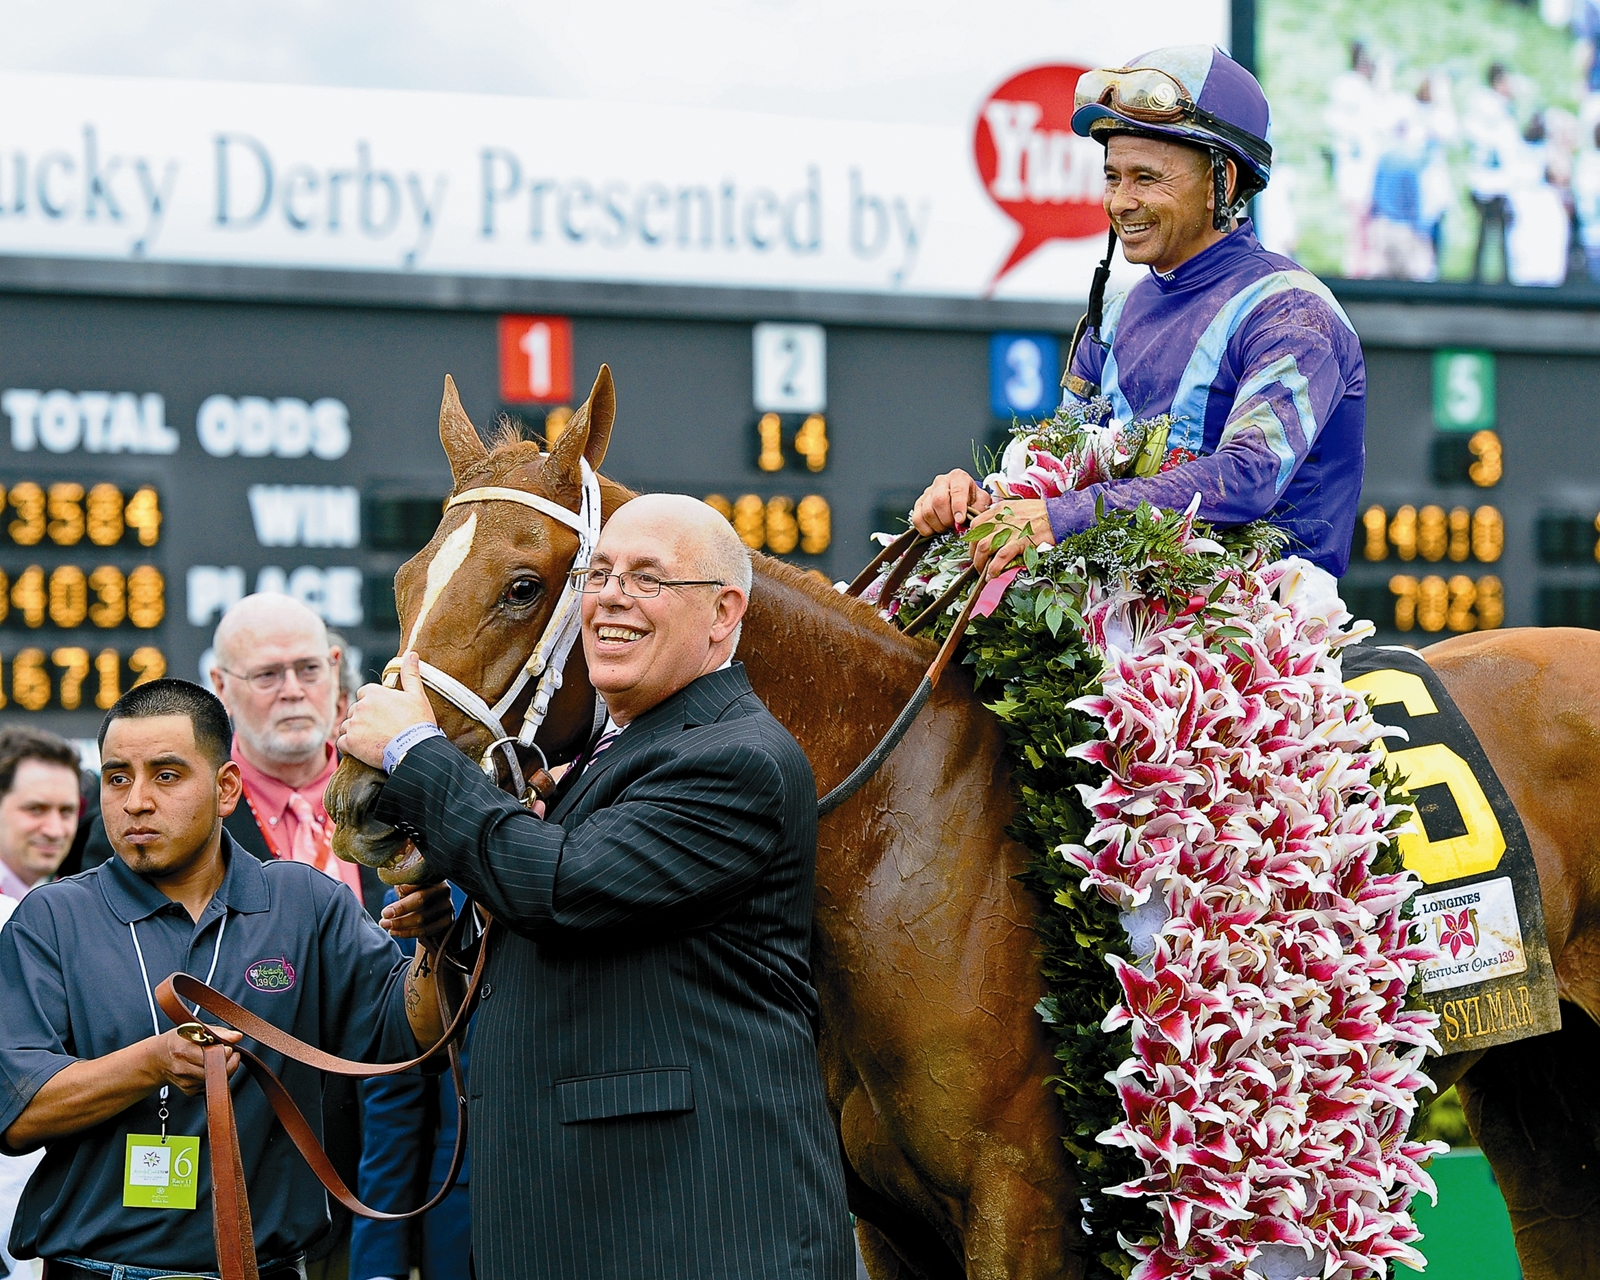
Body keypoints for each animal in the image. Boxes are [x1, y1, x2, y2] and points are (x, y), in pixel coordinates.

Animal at [324, 369, 1600, 1280]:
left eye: (523, 584)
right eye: (403, 579)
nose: (360, 798)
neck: (899, 841)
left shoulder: (1023, 1207)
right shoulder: (884, 1220)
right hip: (1540, 1095)